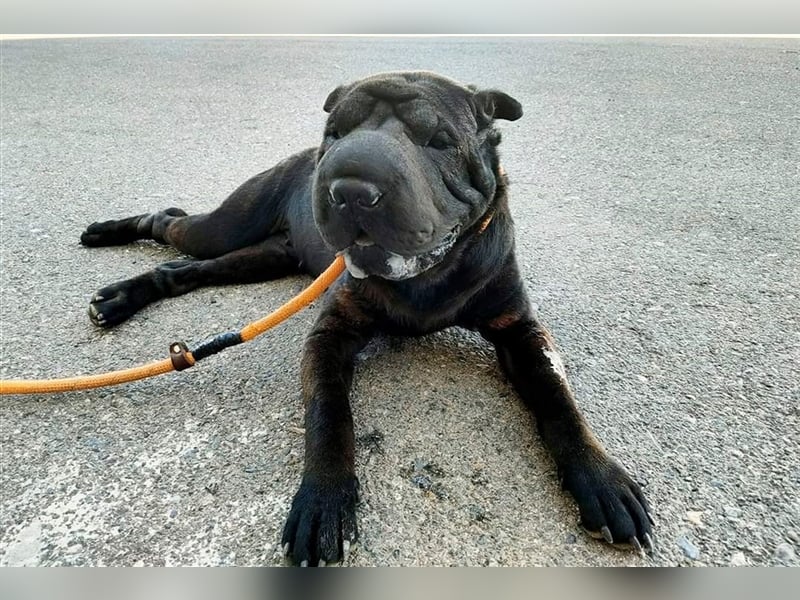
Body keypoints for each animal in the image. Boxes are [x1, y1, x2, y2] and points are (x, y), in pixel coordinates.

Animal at [81, 71, 652, 568]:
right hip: (224, 227)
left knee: (182, 269)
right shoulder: (331, 335)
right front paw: (324, 500)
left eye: (438, 140)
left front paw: (602, 479)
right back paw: (111, 250)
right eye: (334, 134)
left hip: (259, 256)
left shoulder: (520, 329)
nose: (349, 186)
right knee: (169, 222)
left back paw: (124, 292)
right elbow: (329, 414)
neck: (428, 280)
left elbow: (559, 398)